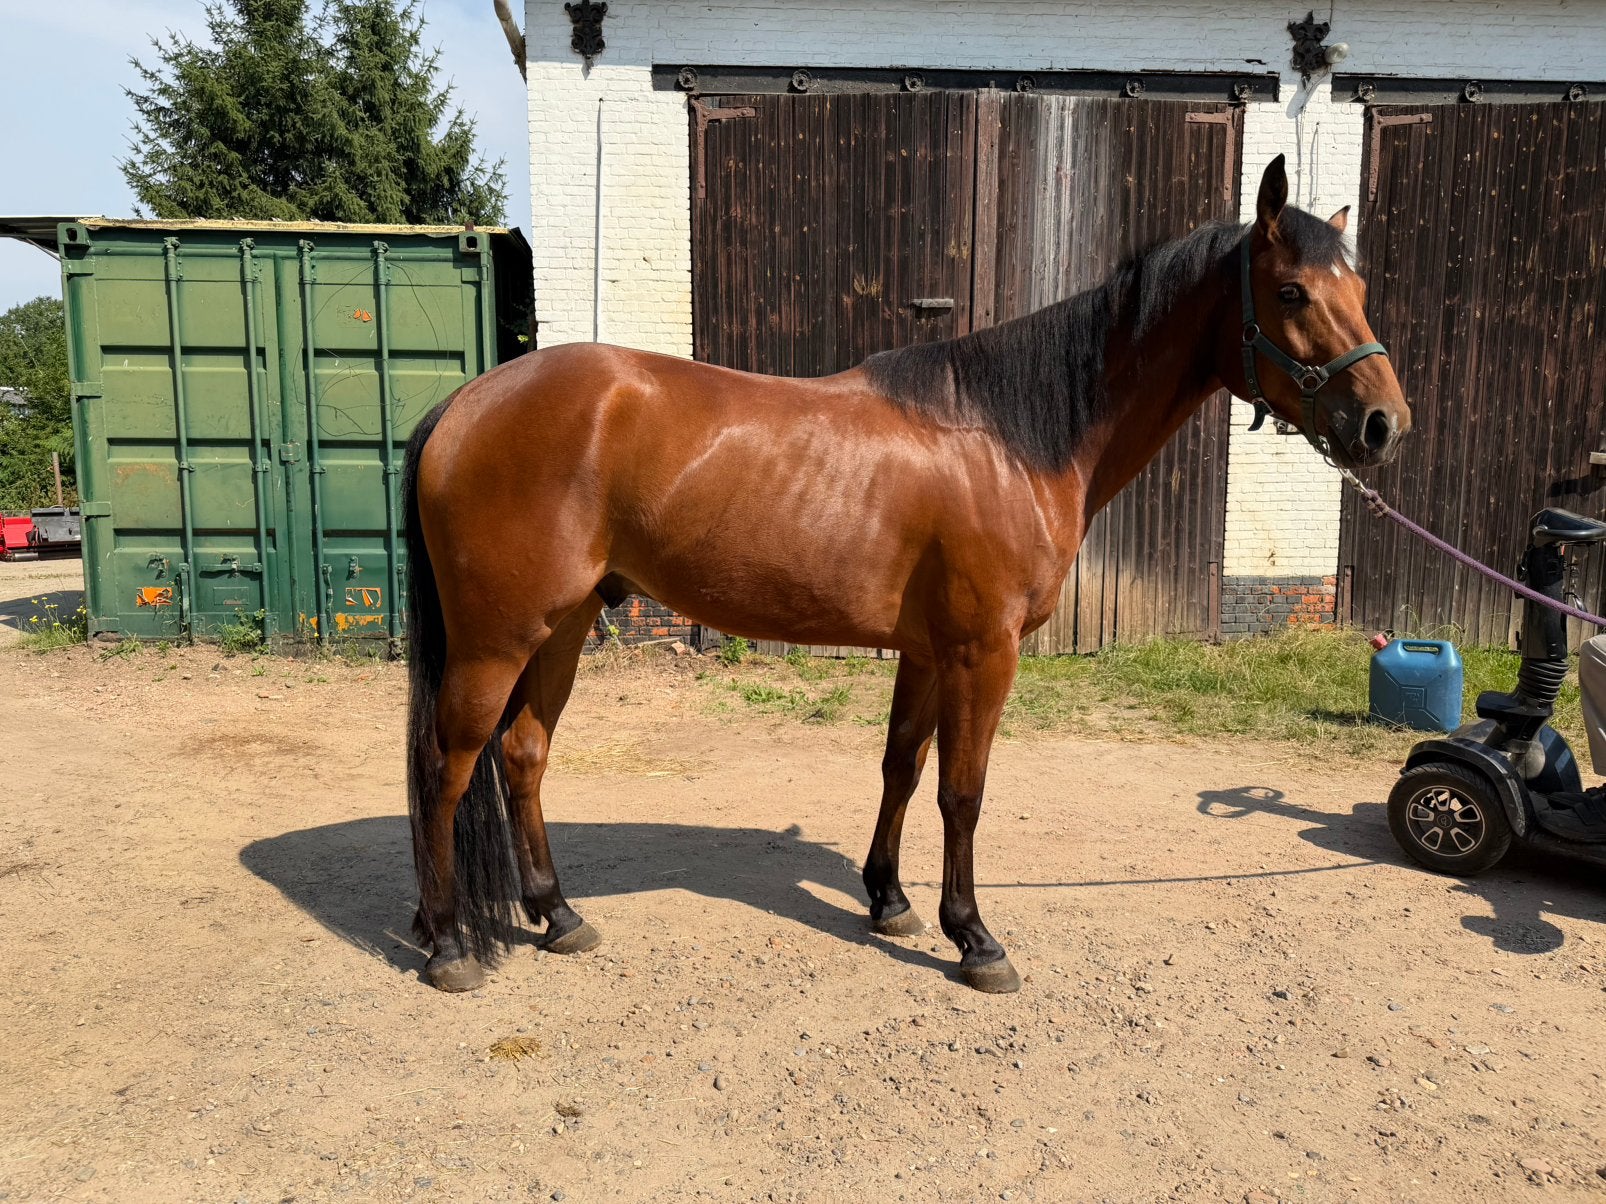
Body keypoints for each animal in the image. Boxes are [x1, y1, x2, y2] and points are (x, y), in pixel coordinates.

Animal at [399, 155, 1411, 994]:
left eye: (1359, 287)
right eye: (1290, 291)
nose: (1384, 425)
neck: (1010, 438)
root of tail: (464, 402)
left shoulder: (928, 652)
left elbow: (901, 766)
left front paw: (888, 899)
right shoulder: (982, 653)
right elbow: (963, 791)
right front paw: (977, 938)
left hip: (563, 626)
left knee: (523, 755)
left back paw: (557, 914)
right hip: (497, 639)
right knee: (449, 765)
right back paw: (449, 944)